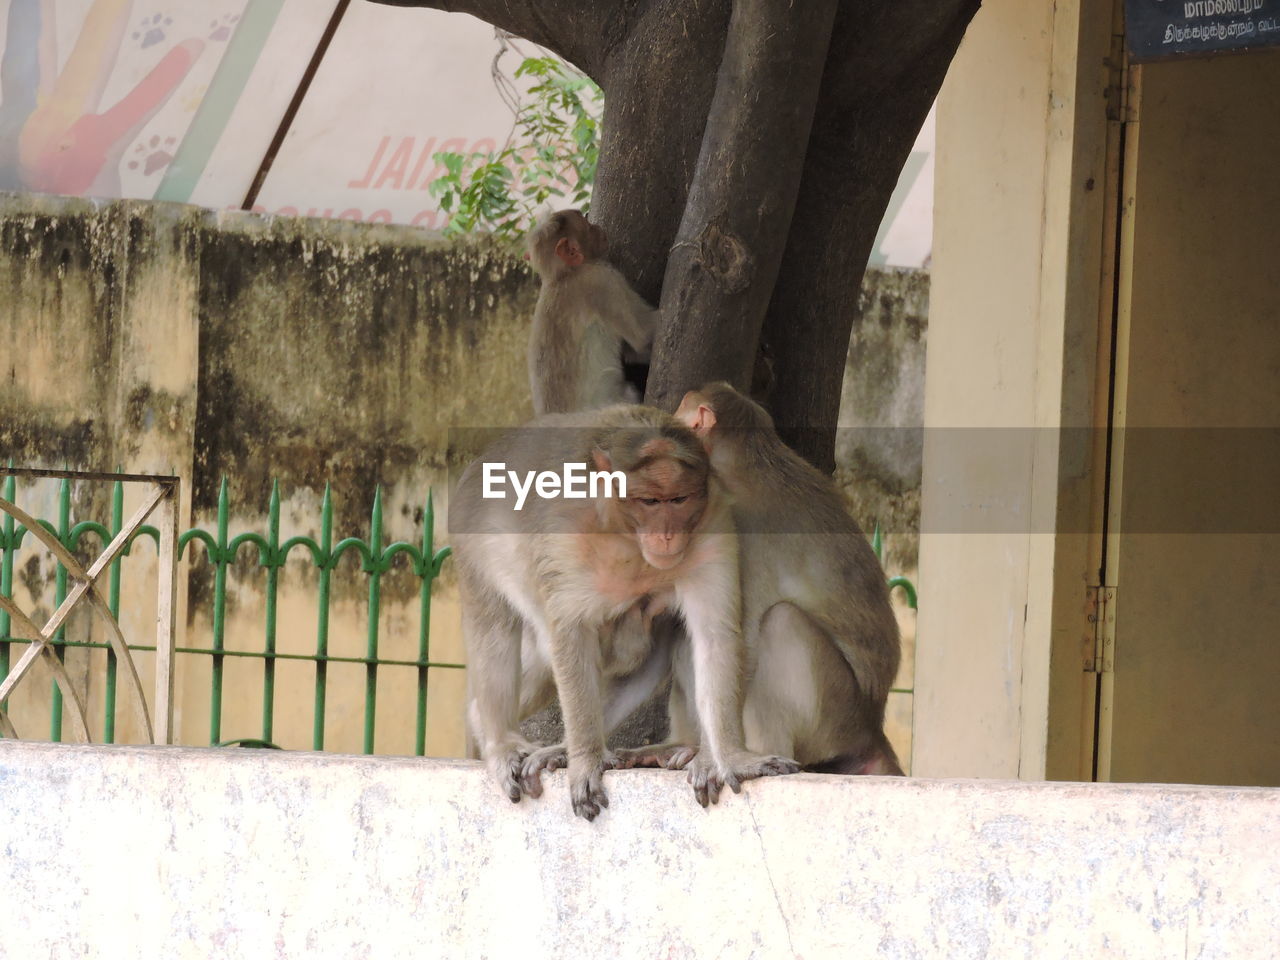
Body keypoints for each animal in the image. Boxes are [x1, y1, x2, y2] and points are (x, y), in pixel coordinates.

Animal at [445, 404, 793, 819]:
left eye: (679, 499)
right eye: (649, 502)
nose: (667, 535)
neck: (627, 534)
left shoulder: (713, 528)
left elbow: (714, 636)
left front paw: (732, 757)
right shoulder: (565, 536)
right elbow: (570, 635)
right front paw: (585, 760)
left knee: (653, 646)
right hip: (471, 540)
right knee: (499, 632)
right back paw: (498, 738)